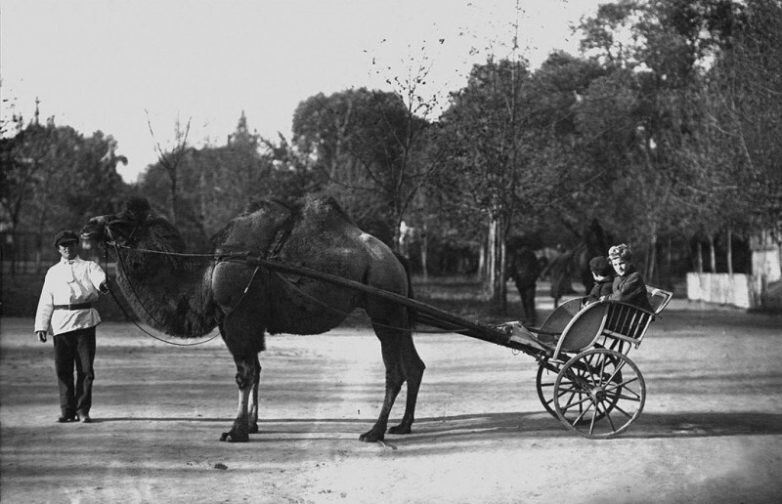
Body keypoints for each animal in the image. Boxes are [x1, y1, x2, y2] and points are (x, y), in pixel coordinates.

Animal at [82, 196, 426, 440]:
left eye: (121, 220)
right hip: (397, 312)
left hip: (382, 302)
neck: (203, 277)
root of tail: (396, 258)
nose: (87, 226)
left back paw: (374, 432)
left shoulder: (238, 321)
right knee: (414, 365)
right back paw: (403, 425)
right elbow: (257, 371)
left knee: (394, 371)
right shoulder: (247, 324)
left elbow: (244, 375)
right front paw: (252, 423)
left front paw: (235, 431)